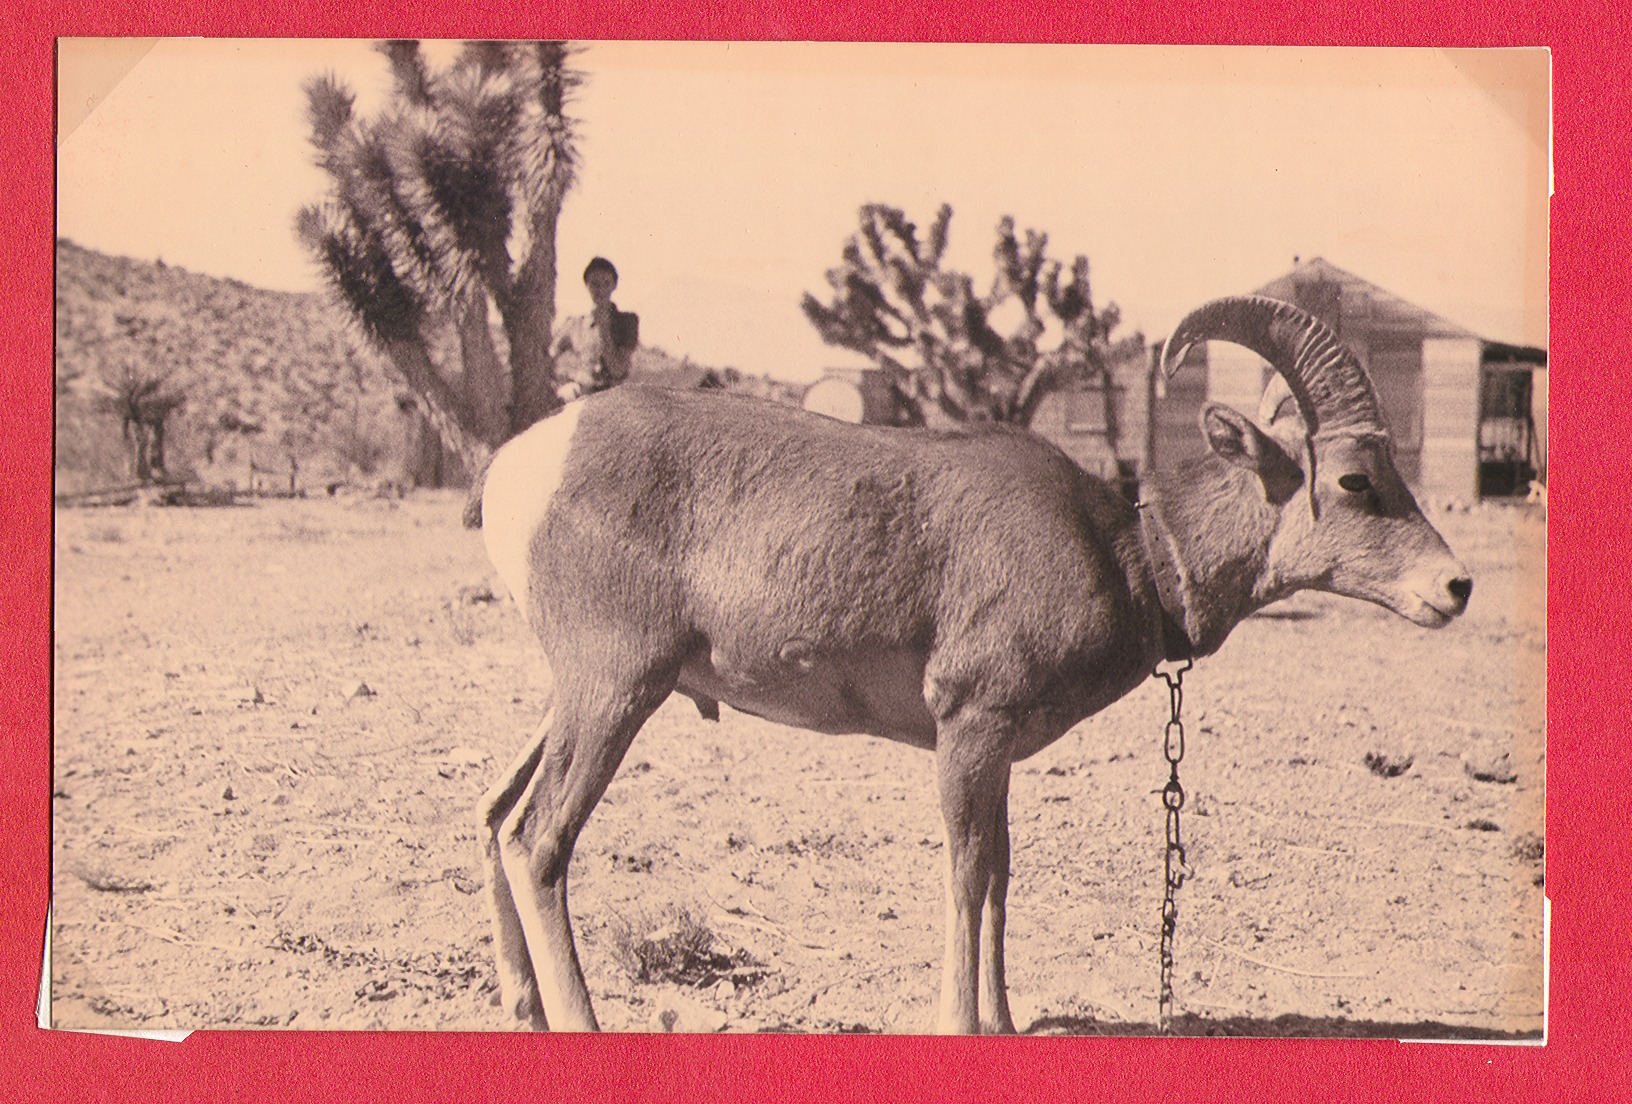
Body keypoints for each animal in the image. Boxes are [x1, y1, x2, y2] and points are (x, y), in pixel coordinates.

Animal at [466, 295, 1475, 1032]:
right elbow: (965, 870)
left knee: (497, 814)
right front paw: (960, 1024)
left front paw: (1003, 1023)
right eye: (1353, 481)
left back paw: (524, 1011)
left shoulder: (997, 751)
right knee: (539, 839)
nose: (1456, 587)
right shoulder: (969, 728)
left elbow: (998, 876)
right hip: (615, 693)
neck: (1132, 556)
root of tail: (522, 469)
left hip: (581, 697)